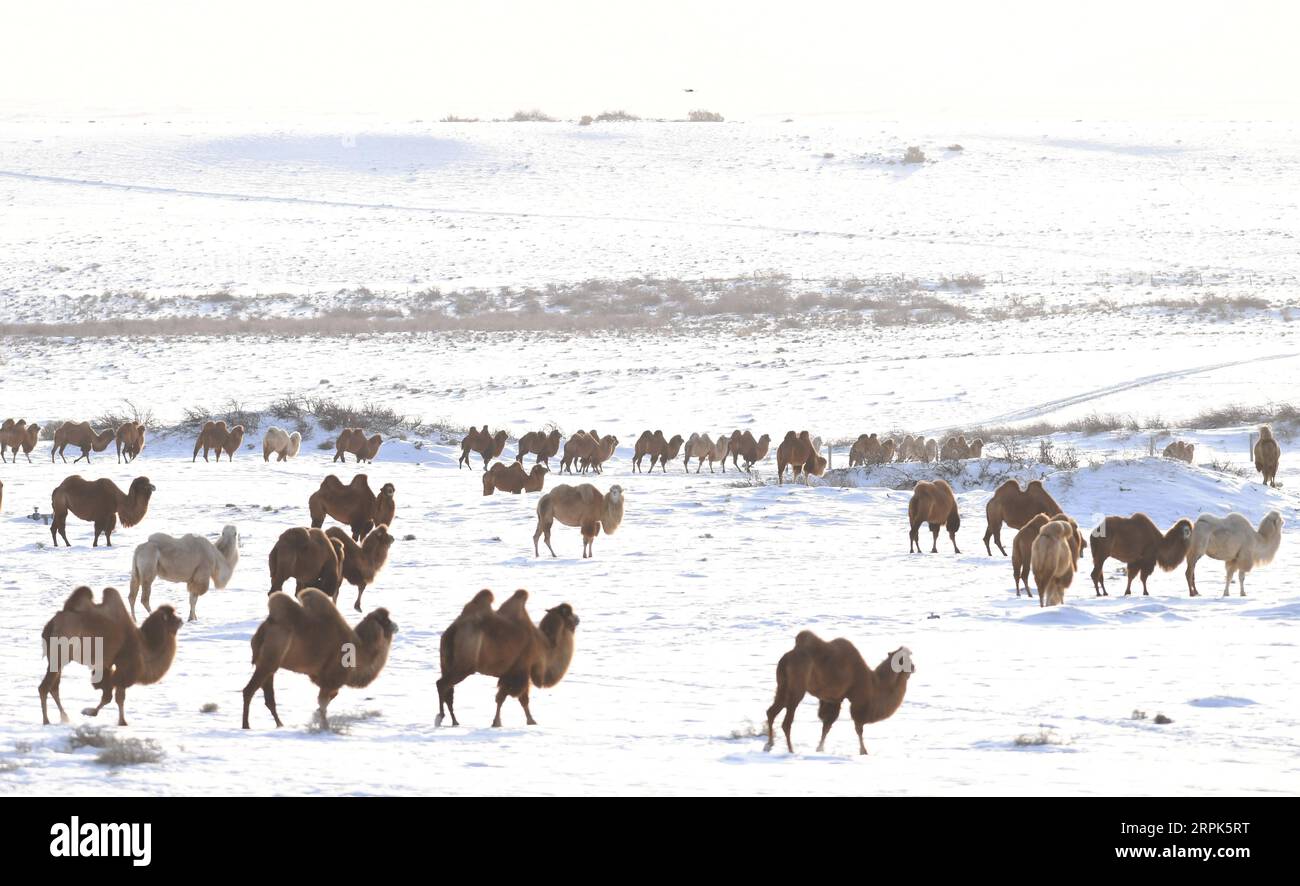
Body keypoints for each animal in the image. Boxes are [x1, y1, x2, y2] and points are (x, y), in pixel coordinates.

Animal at [38, 582, 180, 722]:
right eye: (172, 617)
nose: (181, 621)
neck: (143, 646)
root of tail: (50, 626)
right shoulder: (124, 667)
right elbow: (116, 697)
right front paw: (121, 721)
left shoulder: (107, 665)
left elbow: (108, 694)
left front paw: (91, 712)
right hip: (59, 655)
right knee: (45, 687)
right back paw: (46, 721)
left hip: (58, 659)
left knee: (54, 687)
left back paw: (64, 717)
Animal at [237, 587, 390, 722]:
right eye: (385, 620)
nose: (394, 626)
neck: (359, 651)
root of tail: (265, 627)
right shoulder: (332, 678)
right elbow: (326, 700)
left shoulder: (320, 677)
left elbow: (331, 696)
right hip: (268, 662)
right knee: (249, 691)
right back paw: (247, 726)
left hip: (268, 665)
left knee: (268, 697)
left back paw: (279, 724)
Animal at [436, 587, 579, 722]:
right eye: (569, 613)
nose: (578, 619)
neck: (543, 646)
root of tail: (453, 630)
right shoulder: (520, 670)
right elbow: (515, 698)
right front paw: (523, 721)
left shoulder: (512, 672)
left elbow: (506, 698)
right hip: (464, 666)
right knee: (442, 684)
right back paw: (441, 717)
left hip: (446, 662)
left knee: (448, 691)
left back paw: (454, 721)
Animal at [759, 631, 915, 753]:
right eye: (904, 659)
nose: (914, 667)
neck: (873, 683)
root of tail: (786, 659)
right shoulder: (858, 701)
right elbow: (858, 727)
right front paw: (863, 751)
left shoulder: (833, 699)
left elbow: (827, 725)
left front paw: (819, 749)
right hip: (797, 690)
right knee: (787, 722)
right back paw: (791, 750)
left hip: (782, 687)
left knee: (771, 711)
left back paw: (769, 745)